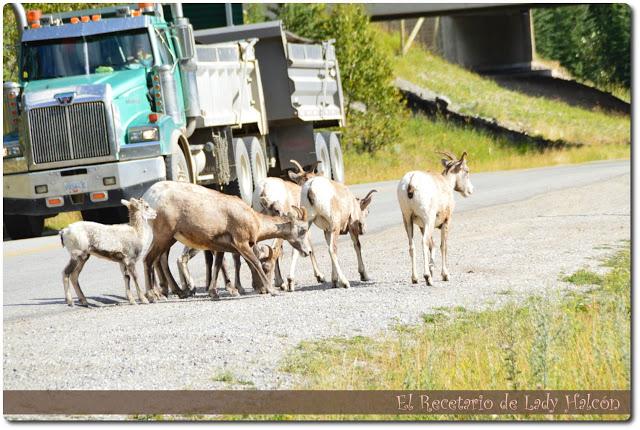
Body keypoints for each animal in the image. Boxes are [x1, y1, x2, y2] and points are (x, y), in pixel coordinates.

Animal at [142, 180, 310, 300]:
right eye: (302, 230)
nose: (307, 252)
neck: (253, 219)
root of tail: (148, 197)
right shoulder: (241, 243)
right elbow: (254, 263)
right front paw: (272, 291)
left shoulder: (220, 247)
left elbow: (217, 266)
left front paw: (214, 293)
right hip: (164, 236)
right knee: (148, 259)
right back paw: (153, 296)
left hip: (168, 238)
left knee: (158, 259)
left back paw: (171, 292)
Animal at [396, 151, 476, 286]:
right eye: (467, 170)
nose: (470, 191)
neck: (446, 183)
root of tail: (411, 182)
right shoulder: (445, 221)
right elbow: (443, 246)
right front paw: (445, 275)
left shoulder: (421, 226)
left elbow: (432, 245)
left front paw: (432, 268)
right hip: (428, 218)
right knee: (423, 242)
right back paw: (427, 278)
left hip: (407, 219)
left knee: (412, 246)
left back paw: (415, 278)